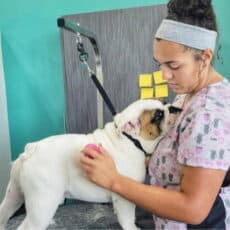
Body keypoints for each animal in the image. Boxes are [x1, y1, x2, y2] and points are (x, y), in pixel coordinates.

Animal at [0, 99, 180, 230]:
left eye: (164, 103)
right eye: (158, 115)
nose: (172, 107)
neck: (131, 140)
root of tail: (31, 149)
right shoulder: (125, 197)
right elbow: (128, 219)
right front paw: (132, 228)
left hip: (14, 194)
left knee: (4, 213)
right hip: (43, 202)